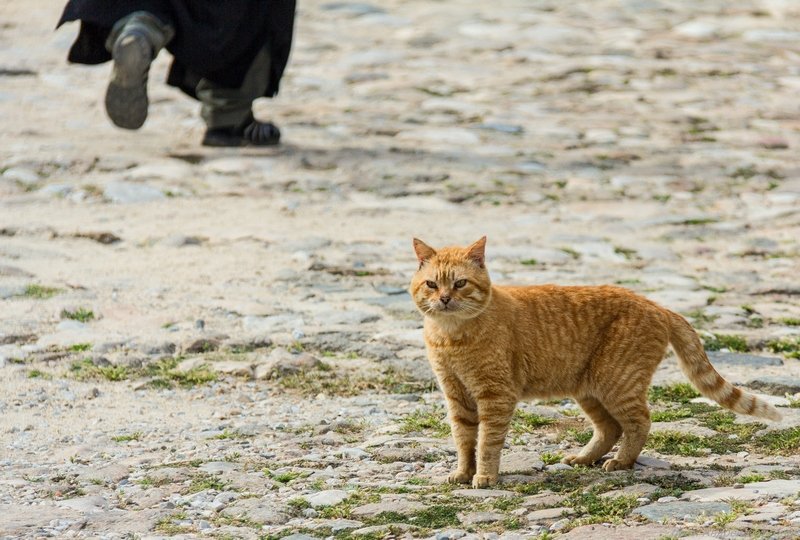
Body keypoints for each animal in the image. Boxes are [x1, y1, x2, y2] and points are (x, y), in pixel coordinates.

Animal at [412, 236, 780, 490]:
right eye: (431, 284)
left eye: (460, 283)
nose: (444, 299)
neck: (451, 337)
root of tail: (657, 305)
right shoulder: (456, 395)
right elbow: (464, 439)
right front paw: (463, 473)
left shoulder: (495, 395)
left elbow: (487, 441)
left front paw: (485, 477)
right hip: (589, 390)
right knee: (610, 427)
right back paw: (585, 458)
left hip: (616, 383)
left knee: (640, 422)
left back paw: (620, 462)